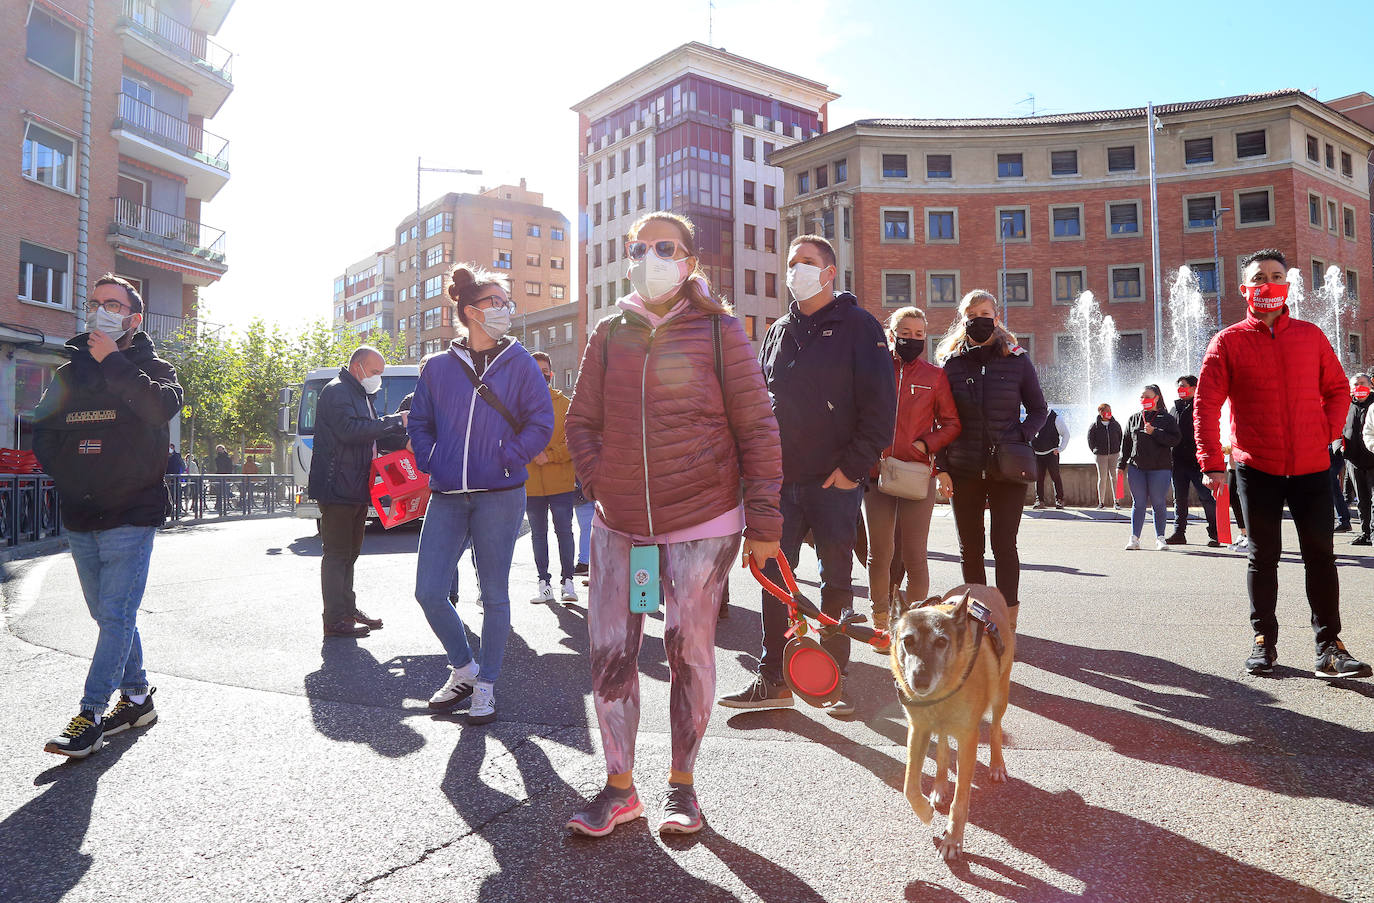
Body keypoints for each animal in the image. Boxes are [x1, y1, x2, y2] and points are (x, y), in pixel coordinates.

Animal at [884, 580, 1016, 857]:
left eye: (941, 642)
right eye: (907, 641)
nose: (920, 681)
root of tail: (982, 585)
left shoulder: (968, 739)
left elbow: (961, 798)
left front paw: (953, 839)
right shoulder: (918, 729)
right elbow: (909, 785)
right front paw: (925, 811)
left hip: (1001, 695)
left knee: (996, 728)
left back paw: (997, 765)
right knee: (943, 746)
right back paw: (939, 786)